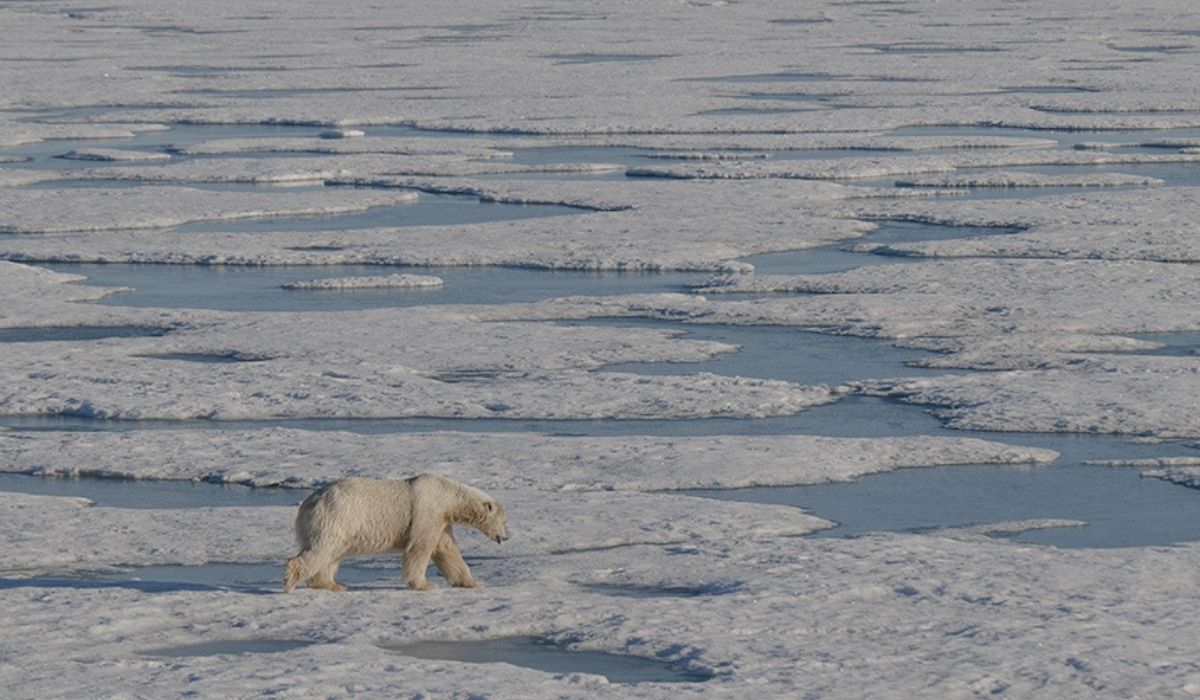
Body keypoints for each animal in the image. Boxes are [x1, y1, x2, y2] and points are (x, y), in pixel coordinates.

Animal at [282, 473, 506, 595]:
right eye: (504, 521)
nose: (506, 536)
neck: (448, 496)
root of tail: (309, 502)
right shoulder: (427, 512)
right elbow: (419, 548)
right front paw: (425, 584)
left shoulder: (441, 522)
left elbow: (447, 550)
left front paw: (473, 582)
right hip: (337, 516)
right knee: (322, 548)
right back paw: (291, 581)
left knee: (330, 554)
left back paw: (333, 584)